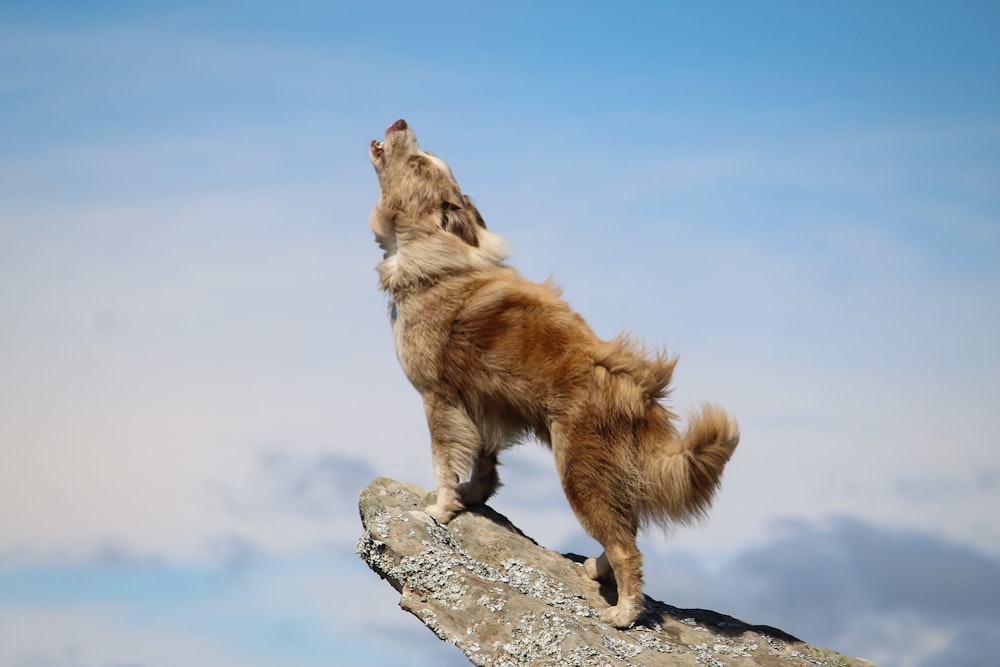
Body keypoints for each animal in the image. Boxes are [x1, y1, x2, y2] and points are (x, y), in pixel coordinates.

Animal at [370, 121, 744, 632]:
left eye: (419, 162)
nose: (399, 121)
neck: (435, 256)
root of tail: (640, 394)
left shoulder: (439, 398)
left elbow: (444, 461)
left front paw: (442, 509)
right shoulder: (484, 403)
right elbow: (483, 465)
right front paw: (472, 497)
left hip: (579, 474)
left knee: (628, 549)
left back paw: (622, 614)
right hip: (606, 479)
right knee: (625, 529)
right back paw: (596, 570)